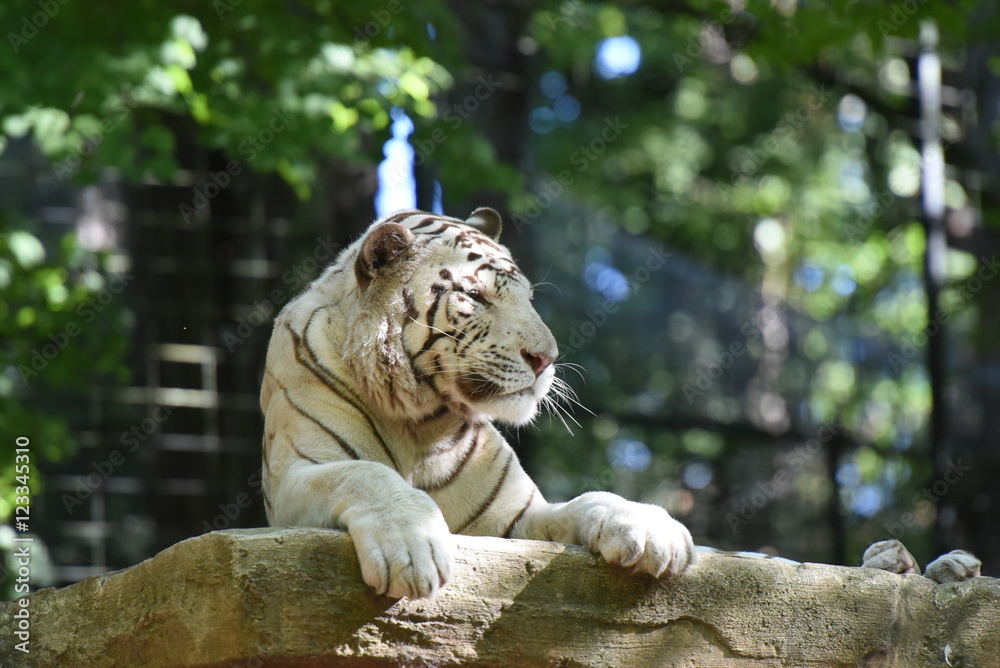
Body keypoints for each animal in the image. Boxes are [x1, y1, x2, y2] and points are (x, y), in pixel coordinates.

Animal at [259, 206, 984, 599]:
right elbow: (369, 475)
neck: (422, 416)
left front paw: (651, 530)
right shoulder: (297, 481)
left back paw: (932, 566)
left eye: (527, 296)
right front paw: (413, 550)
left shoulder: (517, 520)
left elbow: (591, 500)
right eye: (477, 296)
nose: (547, 357)